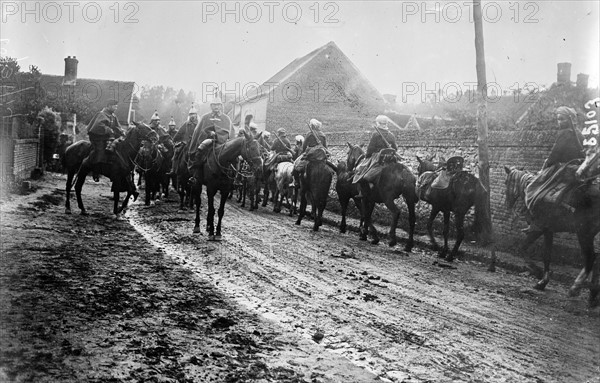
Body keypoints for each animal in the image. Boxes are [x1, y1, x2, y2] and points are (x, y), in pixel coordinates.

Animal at [504, 166, 596, 304]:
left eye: (506, 182)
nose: (507, 204)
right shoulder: (548, 230)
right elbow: (547, 255)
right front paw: (543, 281)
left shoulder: (539, 228)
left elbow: (522, 249)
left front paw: (538, 273)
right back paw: (592, 294)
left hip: (584, 233)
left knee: (591, 258)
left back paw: (576, 288)